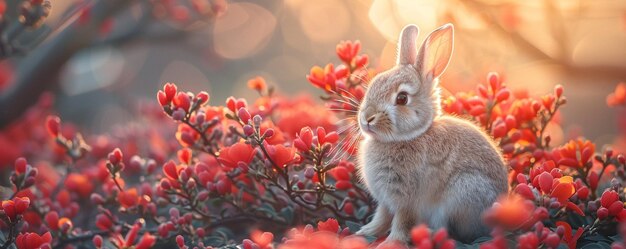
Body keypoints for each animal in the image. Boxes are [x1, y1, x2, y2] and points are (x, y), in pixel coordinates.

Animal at [354, 23, 504, 245]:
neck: (411, 136)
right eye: (373, 85)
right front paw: (365, 232)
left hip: (463, 191)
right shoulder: (386, 201)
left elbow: (401, 222)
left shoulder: (407, 200)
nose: (367, 118)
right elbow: (382, 217)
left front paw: (391, 242)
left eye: (401, 98)